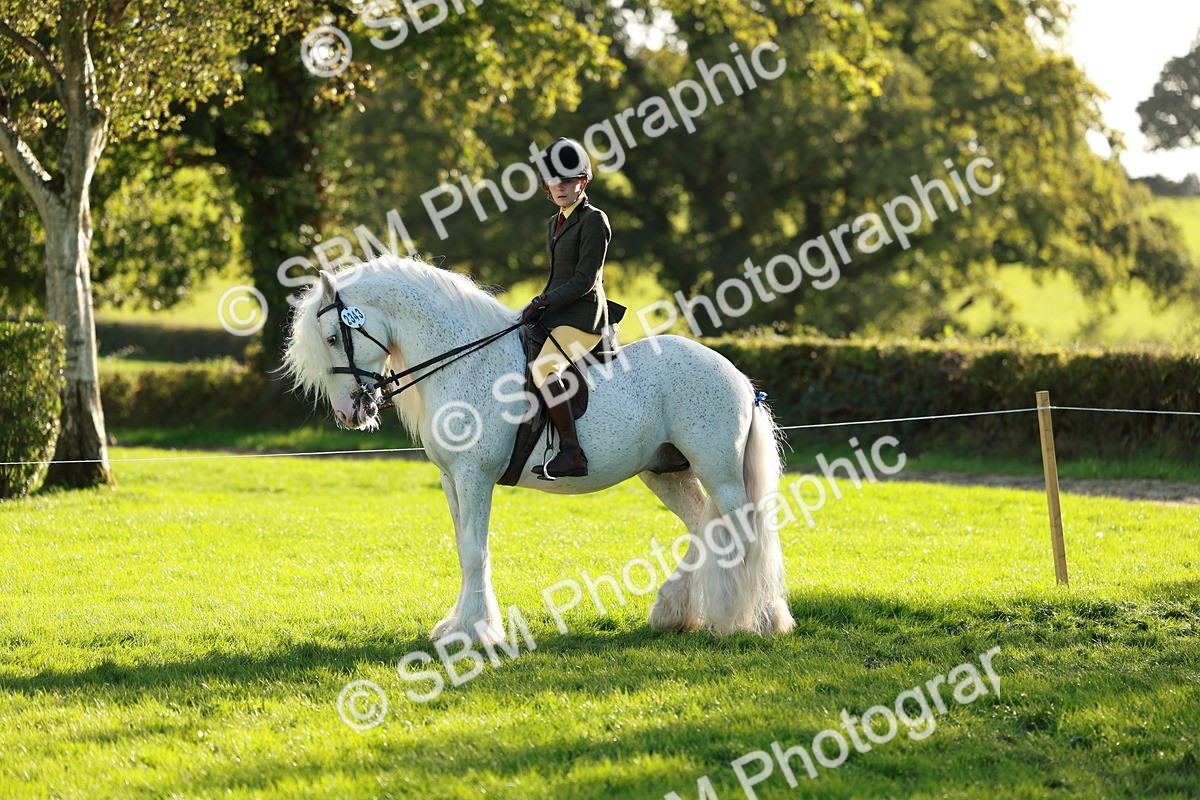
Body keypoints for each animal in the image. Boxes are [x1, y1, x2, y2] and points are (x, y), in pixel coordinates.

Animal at [282, 255, 794, 643]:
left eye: (333, 338)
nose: (349, 413)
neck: (463, 359)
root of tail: (733, 372)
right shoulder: (451, 478)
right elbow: (464, 548)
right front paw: (459, 624)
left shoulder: (474, 475)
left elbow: (475, 550)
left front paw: (473, 632)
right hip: (667, 472)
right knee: (703, 527)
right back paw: (675, 612)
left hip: (719, 472)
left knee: (742, 532)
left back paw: (759, 620)